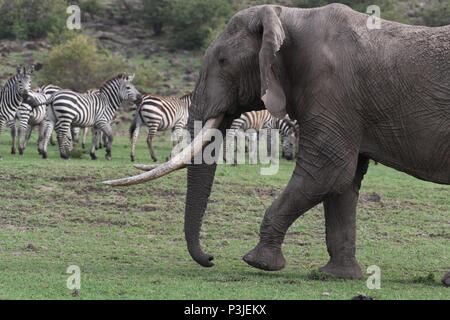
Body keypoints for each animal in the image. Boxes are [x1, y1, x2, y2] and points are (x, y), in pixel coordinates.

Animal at [106, 4, 450, 284]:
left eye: (223, 61)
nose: (211, 258)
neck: (289, 16)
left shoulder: (332, 91)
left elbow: (327, 173)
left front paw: (258, 262)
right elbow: (343, 183)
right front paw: (336, 276)